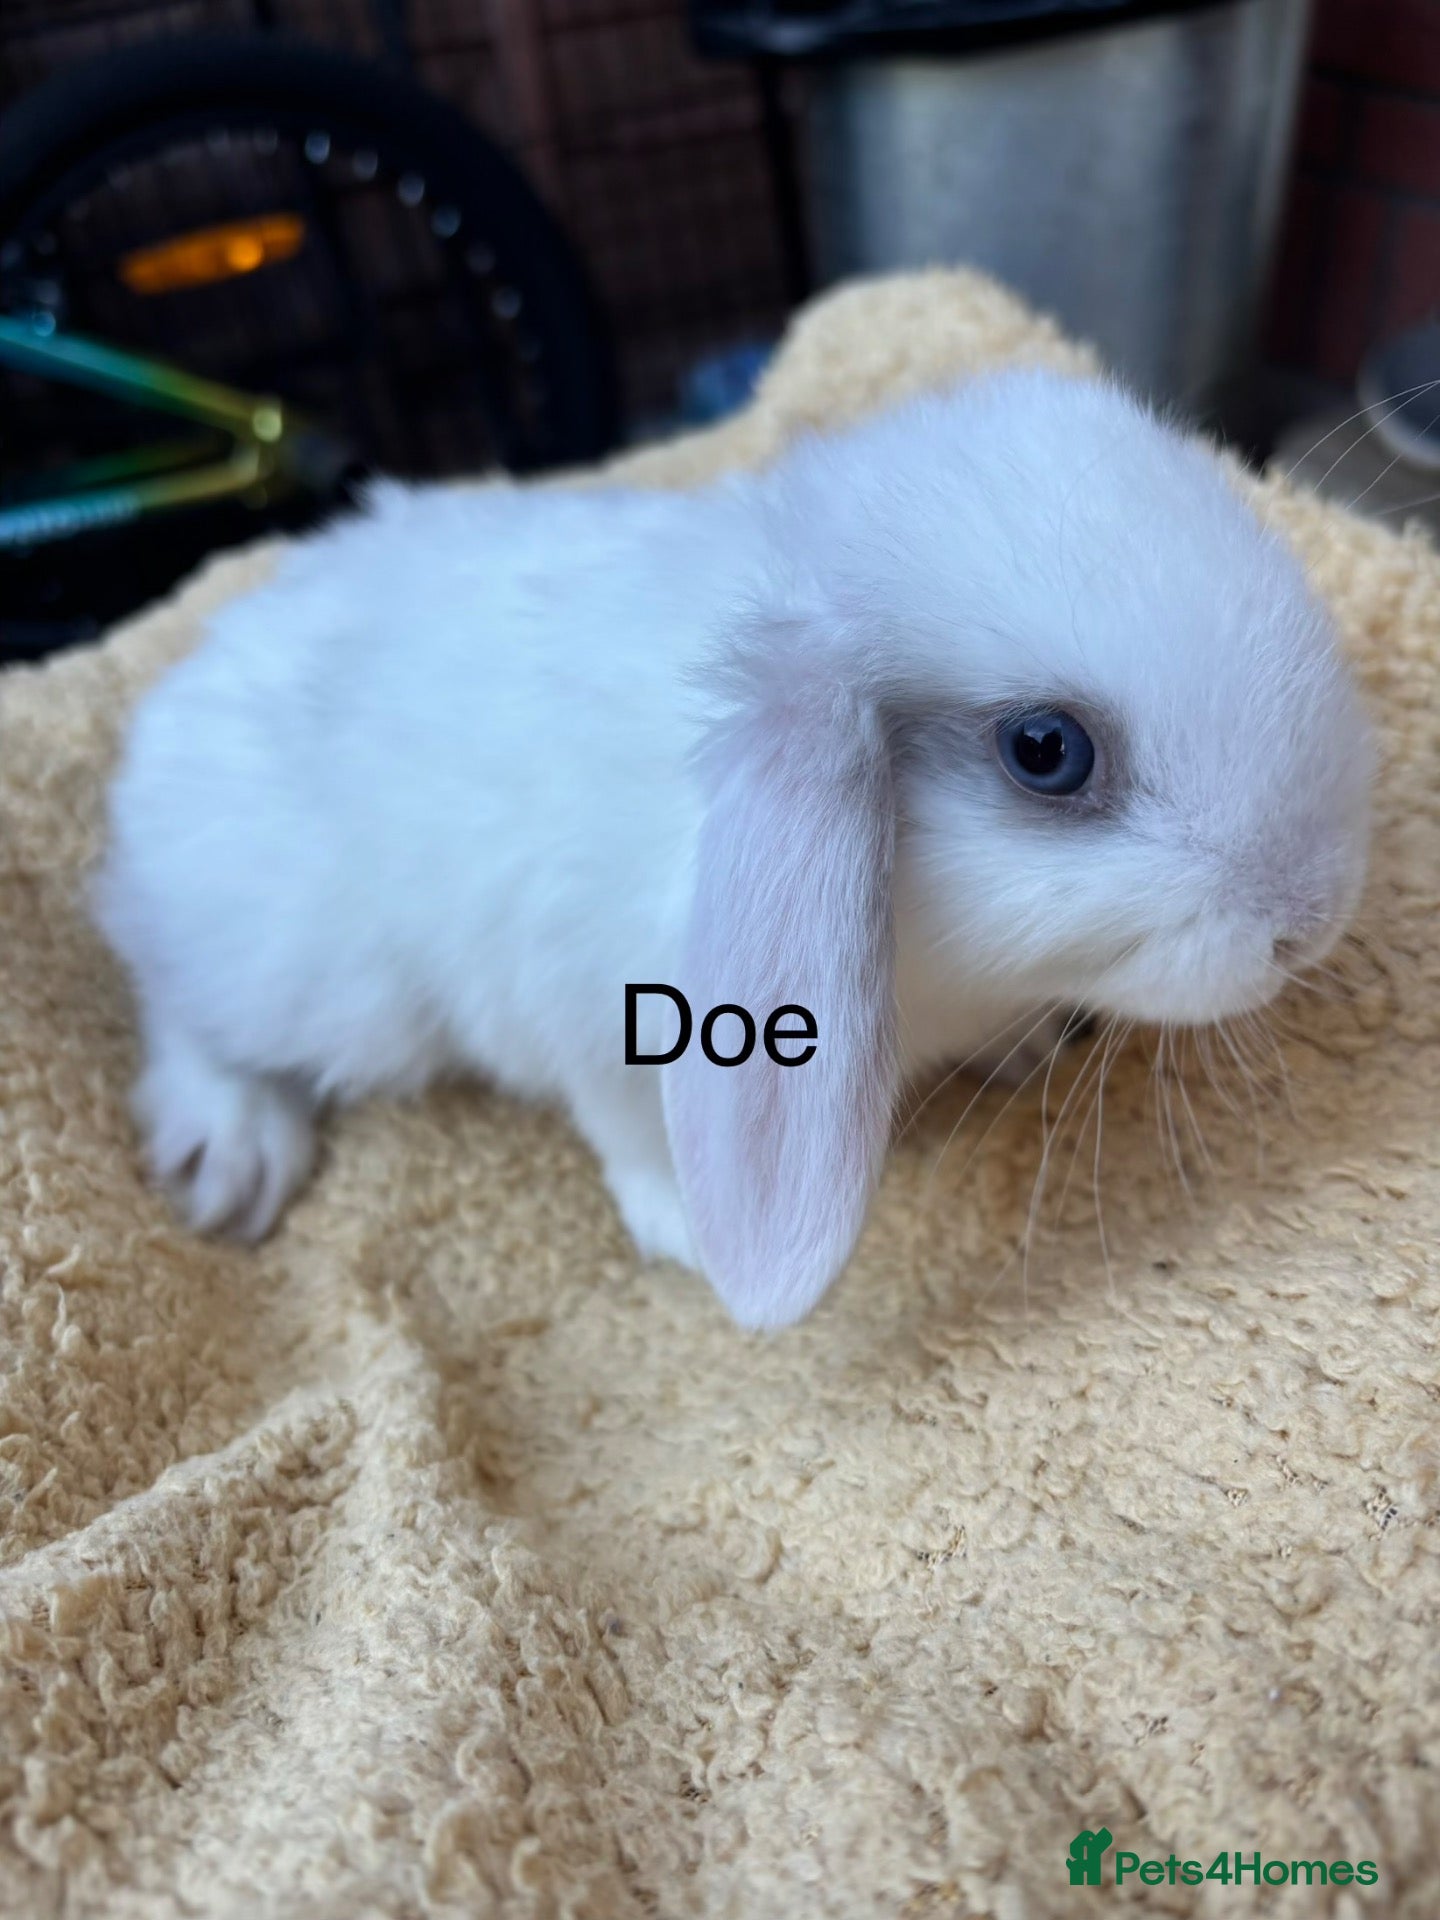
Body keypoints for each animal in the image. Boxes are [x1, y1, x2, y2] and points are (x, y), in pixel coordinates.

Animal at [93, 367, 1373, 1328]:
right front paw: (686, 1238)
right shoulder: (598, 1009)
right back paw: (228, 1155)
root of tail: (169, 710)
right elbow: (629, 1130)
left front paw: (1025, 1044)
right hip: (319, 982)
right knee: (176, 1003)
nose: (1312, 922)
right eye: (1046, 751)